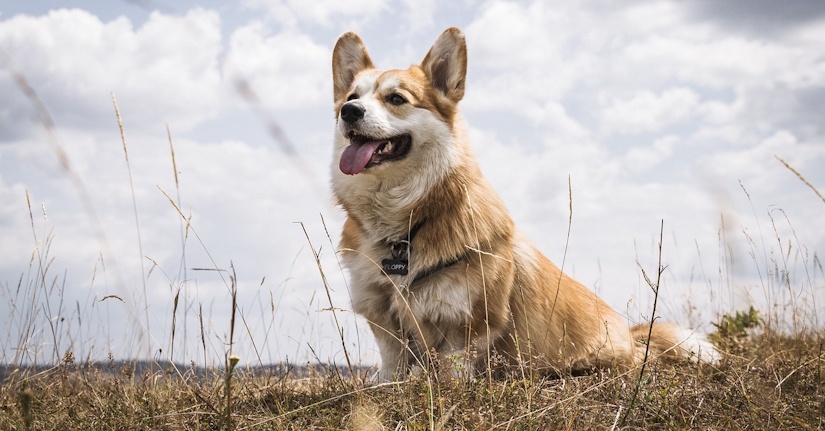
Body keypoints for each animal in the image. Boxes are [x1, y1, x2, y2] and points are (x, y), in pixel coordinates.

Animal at [332, 28, 716, 384]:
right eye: (352, 97)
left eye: (396, 98)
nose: (349, 112)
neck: (405, 220)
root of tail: (633, 337)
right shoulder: (382, 316)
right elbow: (392, 362)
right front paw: (385, 386)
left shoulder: (470, 322)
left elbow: (455, 369)